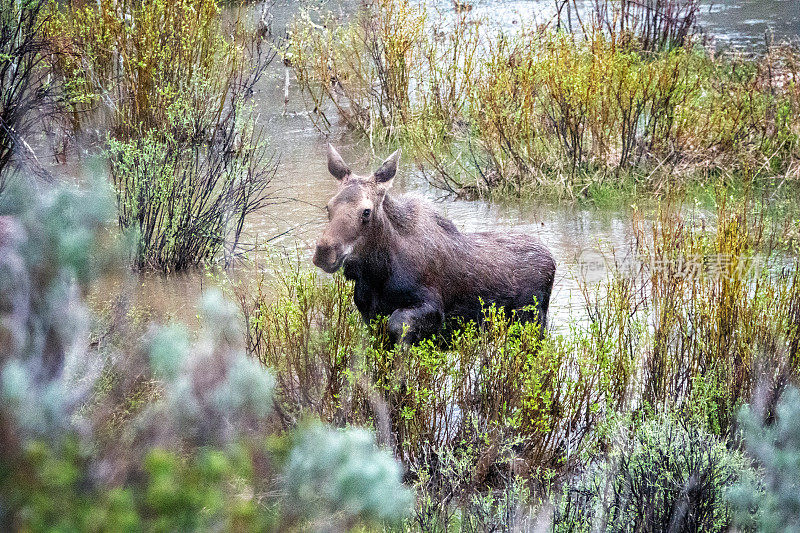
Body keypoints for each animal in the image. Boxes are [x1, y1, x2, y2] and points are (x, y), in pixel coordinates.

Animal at [312, 145, 556, 344]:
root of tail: (552, 260)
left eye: (366, 211)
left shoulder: (434, 308)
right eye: (328, 206)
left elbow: (397, 323)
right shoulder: (368, 316)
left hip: (533, 322)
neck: (378, 273)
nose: (324, 251)